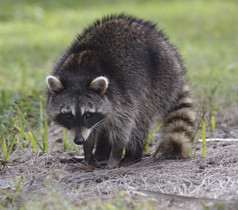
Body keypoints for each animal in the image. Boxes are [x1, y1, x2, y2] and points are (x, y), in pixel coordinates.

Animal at [46, 14, 195, 169]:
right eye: (68, 115)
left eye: (88, 115)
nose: (79, 140)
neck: (78, 72)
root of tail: (175, 63)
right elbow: (94, 129)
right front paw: (87, 153)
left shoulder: (122, 95)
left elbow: (124, 124)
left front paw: (115, 154)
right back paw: (101, 153)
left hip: (157, 83)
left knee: (139, 119)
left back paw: (131, 155)